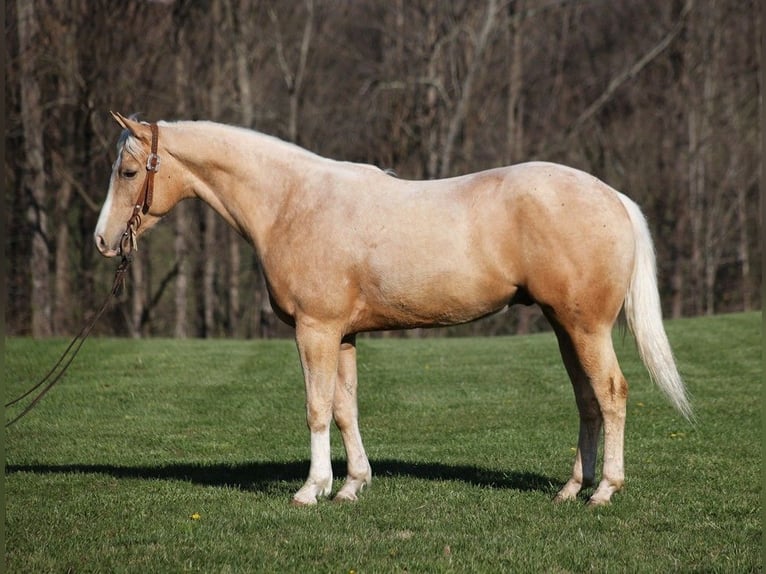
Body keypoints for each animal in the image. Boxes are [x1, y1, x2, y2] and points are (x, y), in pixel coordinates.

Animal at [93, 112, 692, 508]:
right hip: (565, 326)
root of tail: (613, 197)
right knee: (588, 400)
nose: (103, 241)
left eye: (128, 172)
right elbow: (345, 408)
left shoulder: (314, 330)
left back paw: (604, 491)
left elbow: (316, 409)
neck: (291, 202)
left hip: (585, 327)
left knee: (611, 393)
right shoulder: (342, 335)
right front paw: (352, 485)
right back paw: (572, 488)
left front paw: (311, 489)